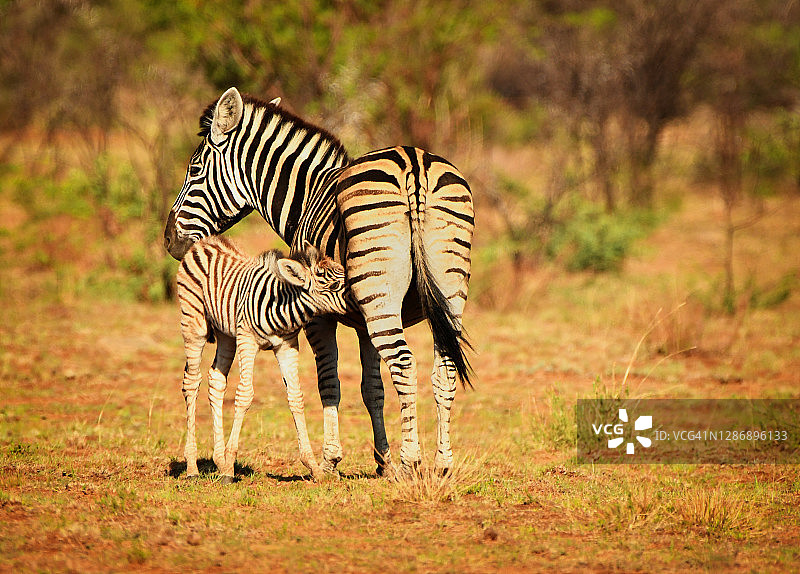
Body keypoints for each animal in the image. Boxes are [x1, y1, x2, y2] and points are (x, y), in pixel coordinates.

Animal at [178, 236, 346, 484]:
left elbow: (296, 397)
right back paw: (192, 467)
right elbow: (244, 395)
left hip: (226, 334)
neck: (282, 307)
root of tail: (205, 241)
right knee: (191, 382)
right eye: (334, 286)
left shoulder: (287, 345)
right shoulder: (247, 340)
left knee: (216, 380)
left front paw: (313, 467)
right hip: (194, 324)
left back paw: (219, 460)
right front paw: (230, 469)